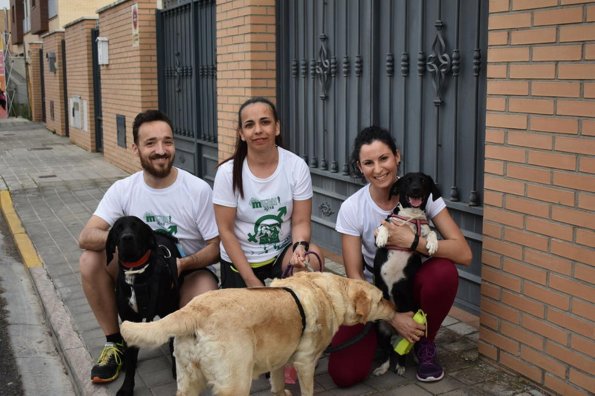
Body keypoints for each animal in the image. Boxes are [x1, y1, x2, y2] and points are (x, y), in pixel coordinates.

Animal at [105, 217, 179, 396]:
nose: (127, 238)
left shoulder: (171, 313)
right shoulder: (129, 320)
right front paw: (126, 388)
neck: (136, 272)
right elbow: (131, 361)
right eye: (118, 228)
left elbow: (174, 347)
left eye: (136, 226)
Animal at [120, 270, 396, 396]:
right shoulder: (305, 362)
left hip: (188, 378)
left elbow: (277, 382)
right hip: (235, 382)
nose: (396, 308)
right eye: (382, 298)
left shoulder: (279, 358)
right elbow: (307, 390)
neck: (329, 291)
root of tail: (193, 310)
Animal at [374, 173, 440, 378]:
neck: (411, 217)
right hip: (379, 329)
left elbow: (431, 232)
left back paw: (403, 365)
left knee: (400, 352)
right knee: (387, 352)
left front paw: (433, 244)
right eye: (408, 180)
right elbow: (384, 226)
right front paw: (382, 237)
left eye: (423, 180)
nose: (416, 189)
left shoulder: (422, 234)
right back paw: (383, 367)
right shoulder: (385, 225)